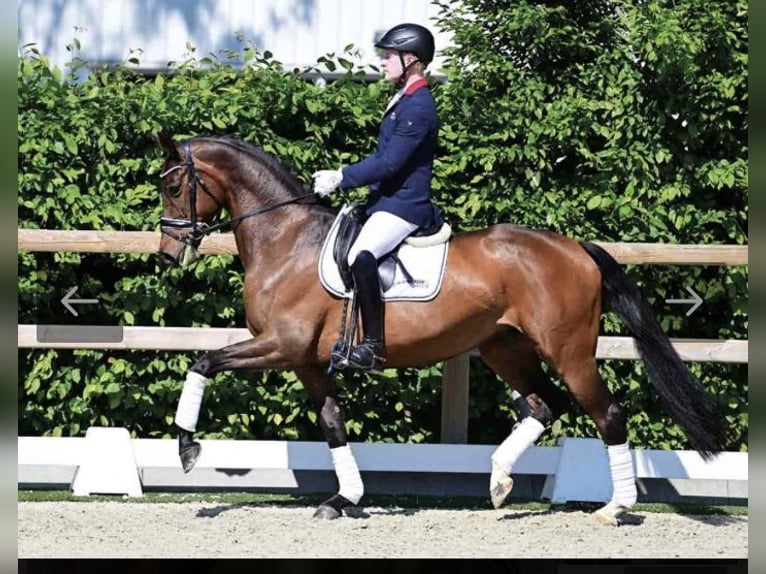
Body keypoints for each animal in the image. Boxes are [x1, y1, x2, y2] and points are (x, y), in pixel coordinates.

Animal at [153, 134, 728, 528]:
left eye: (175, 185)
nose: (167, 255)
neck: (287, 240)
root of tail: (576, 248)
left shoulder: (280, 346)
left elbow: (202, 362)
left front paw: (186, 449)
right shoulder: (307, 361)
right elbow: (333, 424)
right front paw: (344, 499)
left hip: (568, 351)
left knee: (605, 413)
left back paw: (614, 507)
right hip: (504, 347)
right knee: (545, 405)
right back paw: (498, 481)